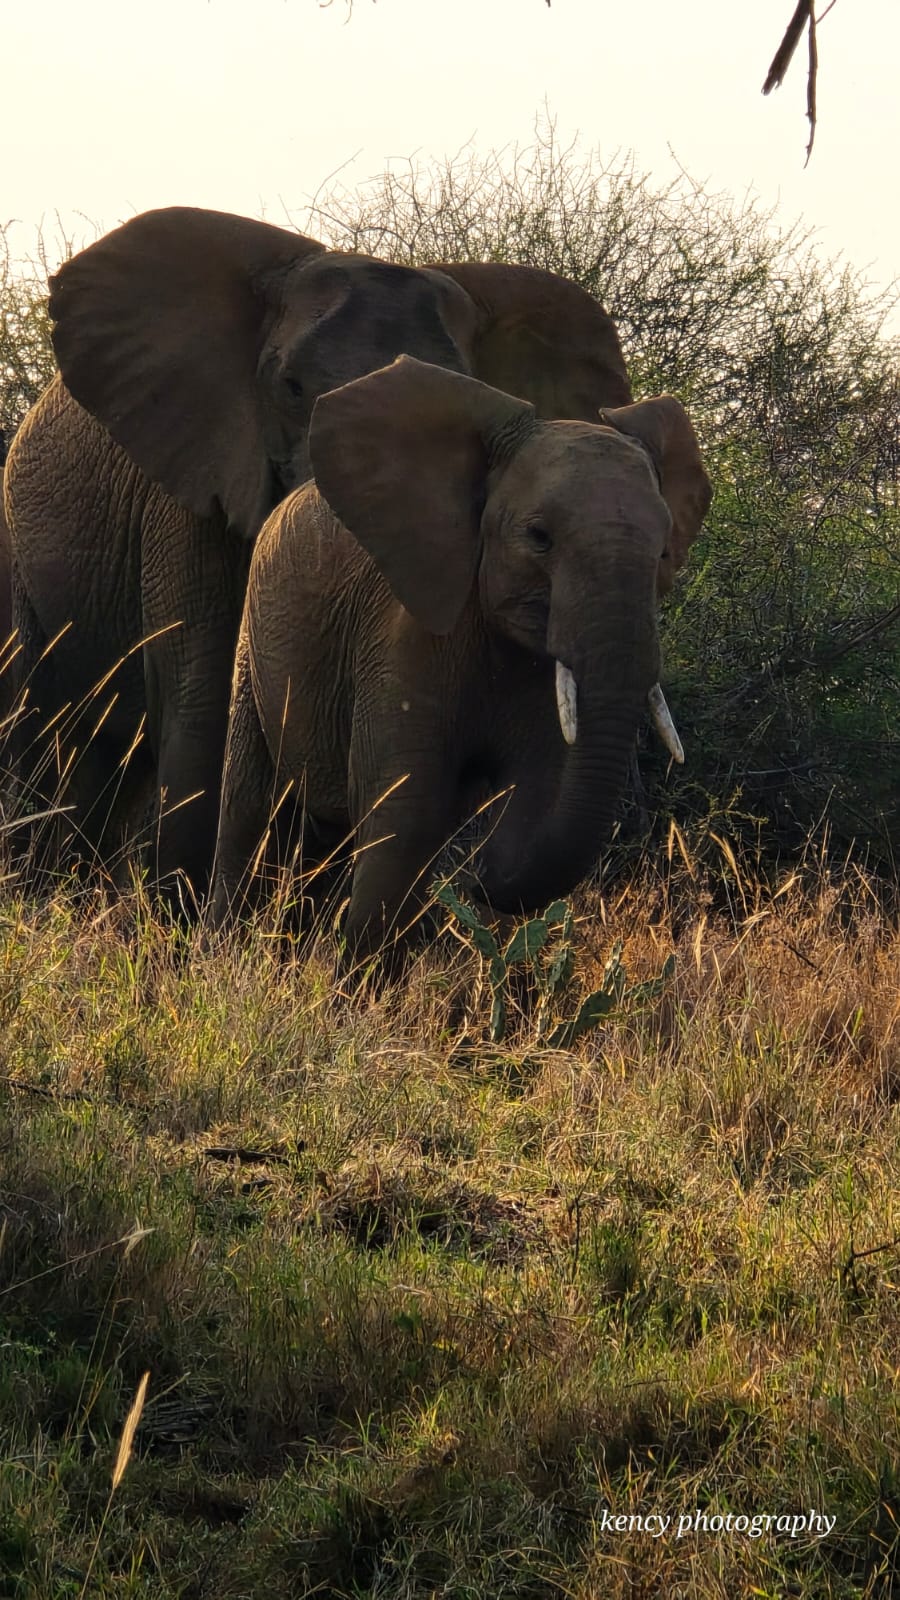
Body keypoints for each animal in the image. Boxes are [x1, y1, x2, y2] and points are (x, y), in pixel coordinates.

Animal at [211, 355, 712, 961]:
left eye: (664, 552)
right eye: (539, 537)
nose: (473, 880)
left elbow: (538, 796)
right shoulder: (399, 635)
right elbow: (406, 811)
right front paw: (360, 985)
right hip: (253, 641)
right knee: (250, 810)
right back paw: (222, 951)